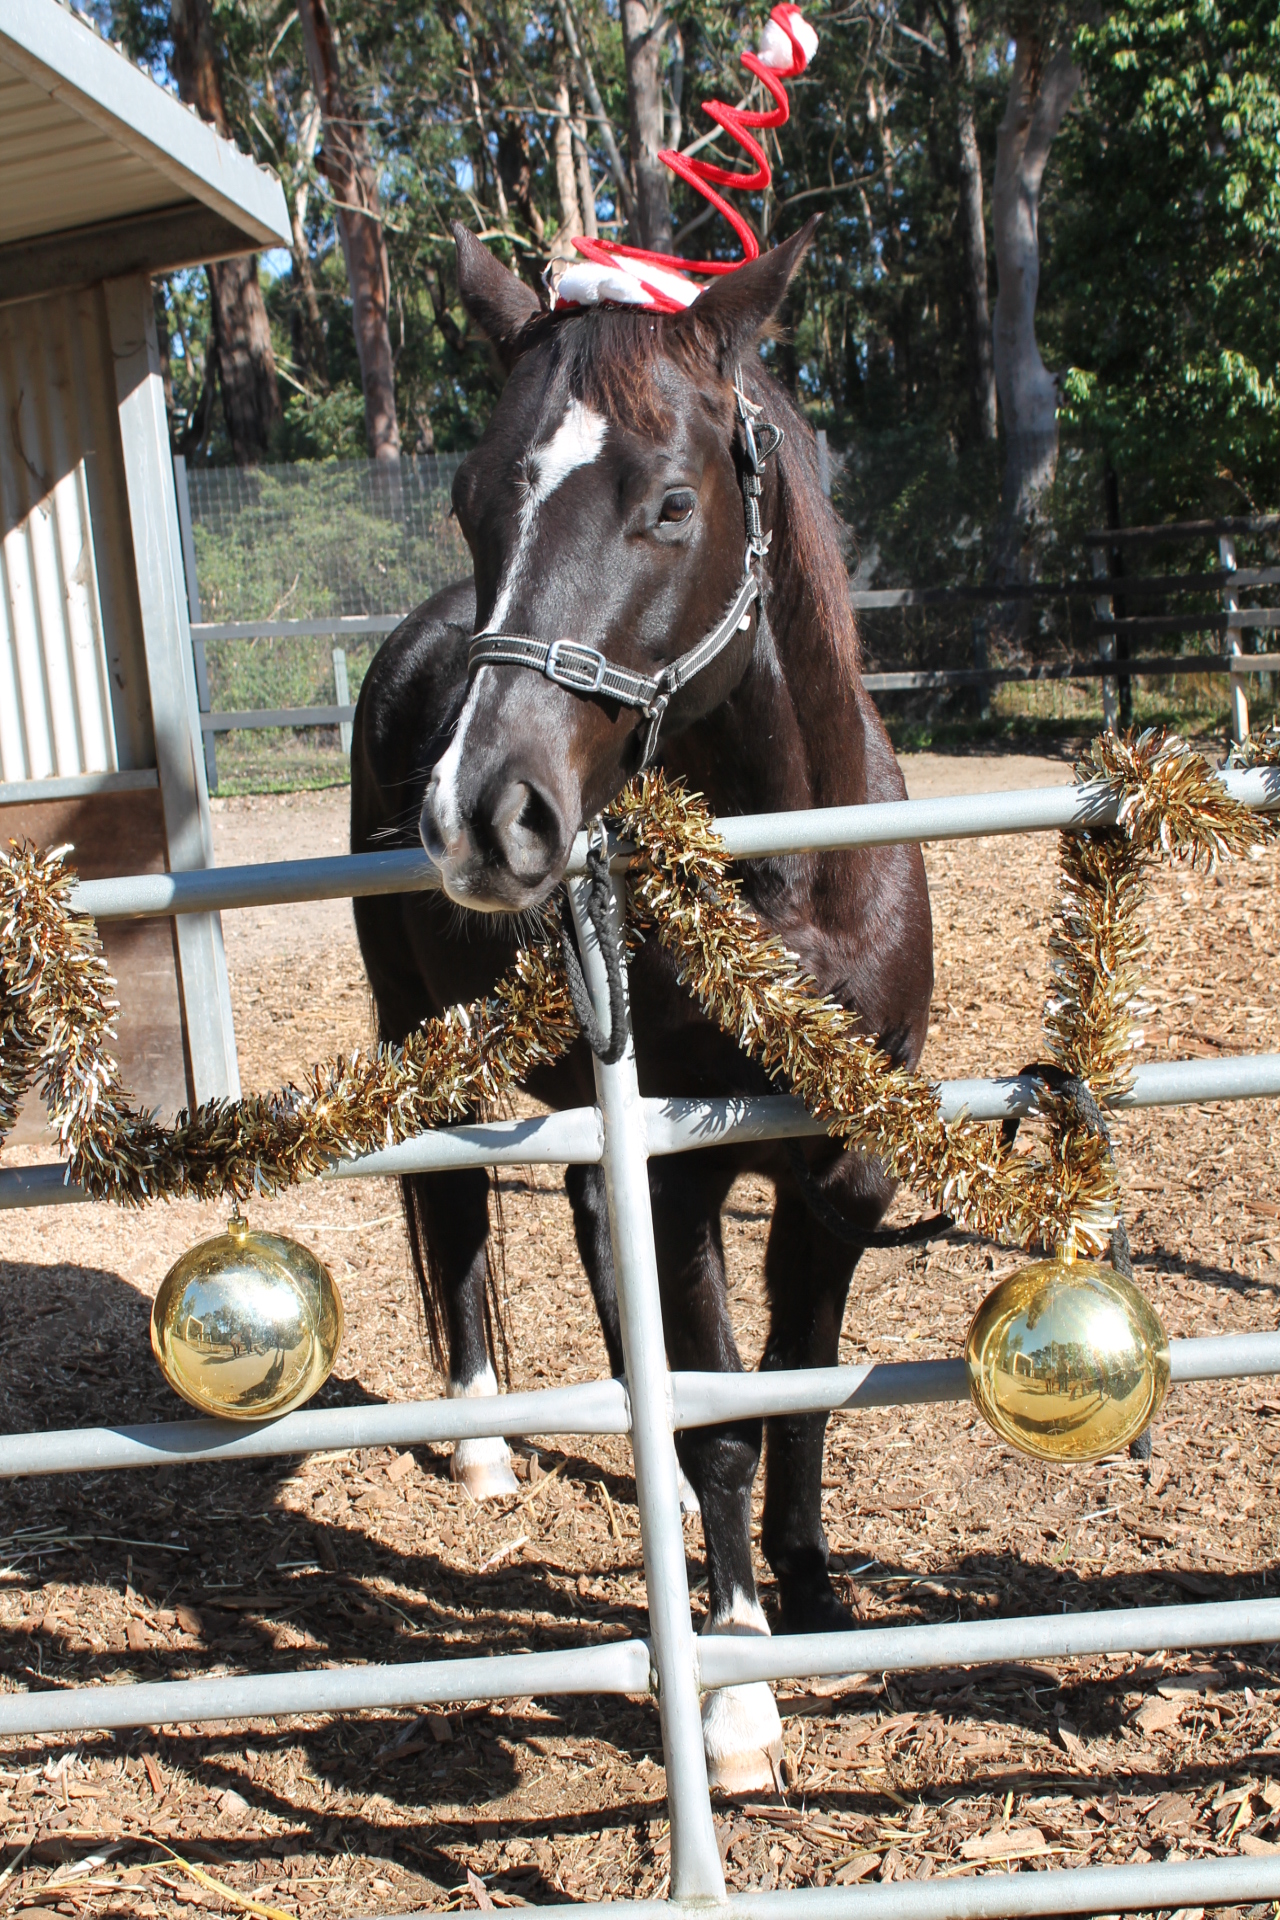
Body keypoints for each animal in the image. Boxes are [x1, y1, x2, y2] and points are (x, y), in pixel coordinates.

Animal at [350, 218, 934, 1791]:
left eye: (674, 502)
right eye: (471, 500)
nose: (482, 815)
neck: (794, 887)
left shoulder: (841, 1171)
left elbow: (796, 1384)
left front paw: (810, 1589)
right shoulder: (685, 1169)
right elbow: (729, 1414)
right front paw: (735, 1694)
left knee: (590, 1245)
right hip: (421, 1039)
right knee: (455, 1211)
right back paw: (487, 1443)